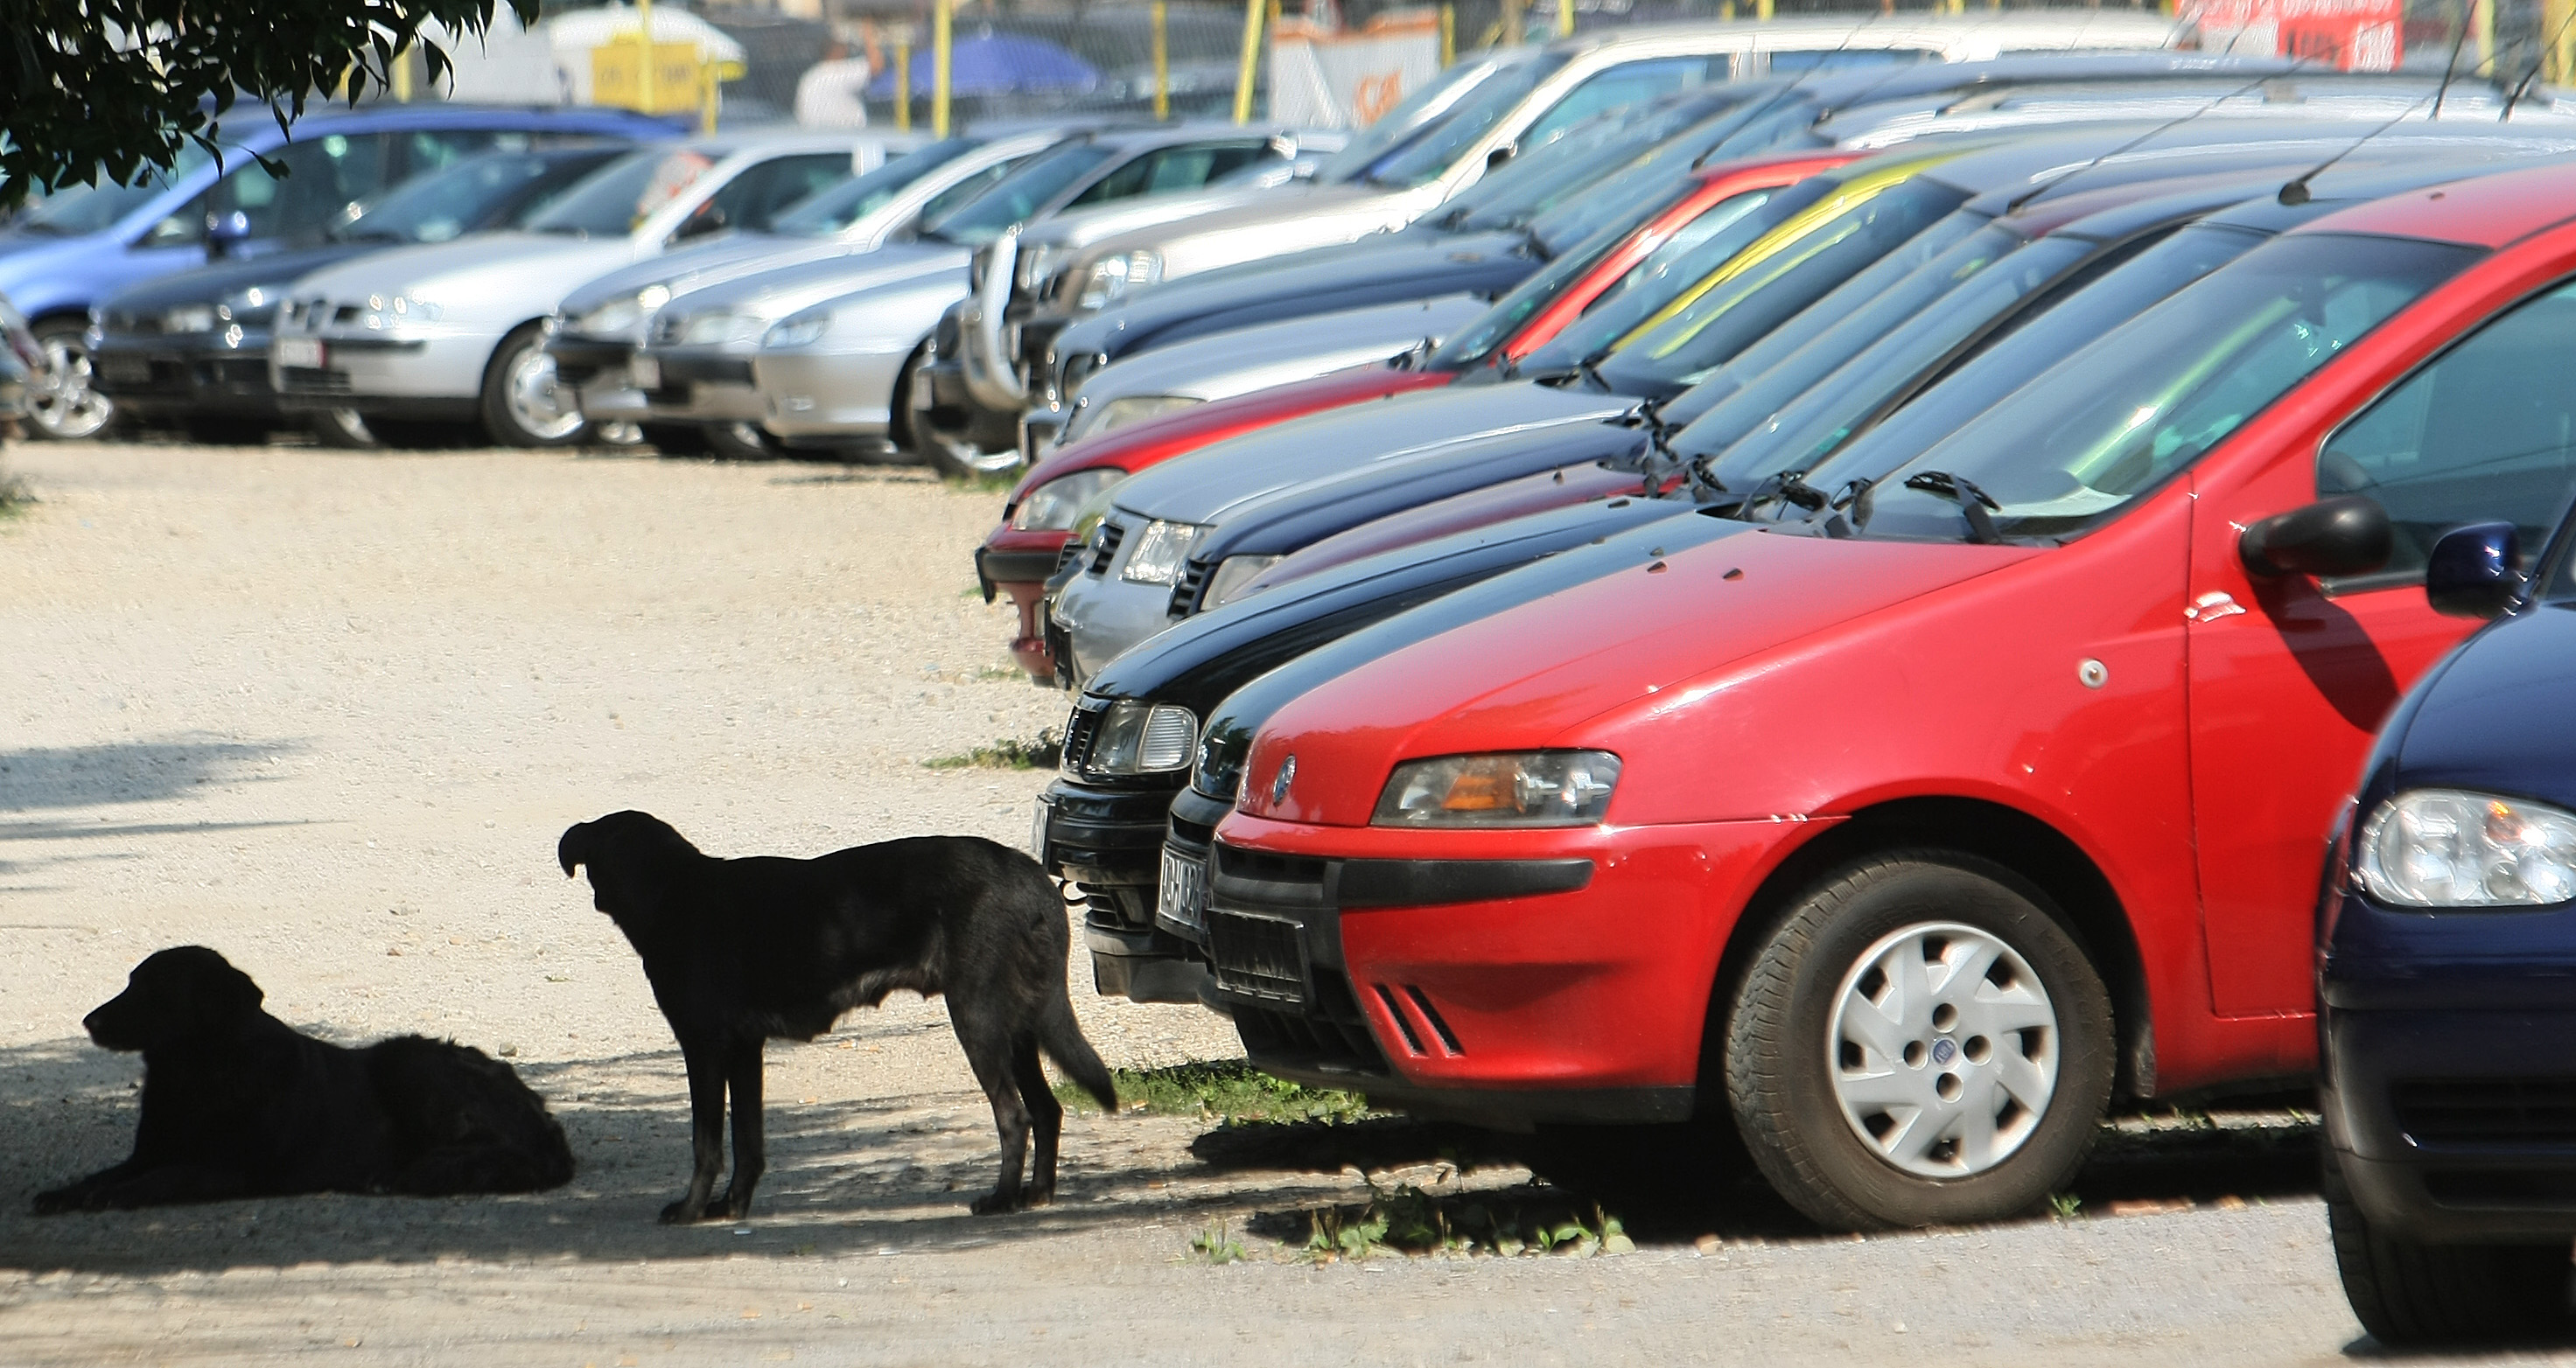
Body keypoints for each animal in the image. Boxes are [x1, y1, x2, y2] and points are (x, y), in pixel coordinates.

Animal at [33, 947, 574, 1216]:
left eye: (154, 990)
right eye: (130, 983)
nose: (89, 1022)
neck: (198, 1072)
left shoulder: (228, 1168)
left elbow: (158, 1180)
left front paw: (106, 1198)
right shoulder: (147, 1154)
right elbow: (104, 1174)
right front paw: (66, 1193)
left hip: (408, 1061)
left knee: (507, 1155)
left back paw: (411, 1172)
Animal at [553, 808, 1117, 1226]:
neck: (671, 891)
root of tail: (1030, 876)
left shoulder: (705, 1047)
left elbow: (705, 1143)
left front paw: (691, 1210)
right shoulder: (744, 1049)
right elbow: (748, 1141)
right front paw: (732, 1206)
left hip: (978, 1019)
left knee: (1014, 1116)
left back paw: (1001, 1199)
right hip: (1019, 1025)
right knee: (1046, 1110)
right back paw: (1036, 1195)